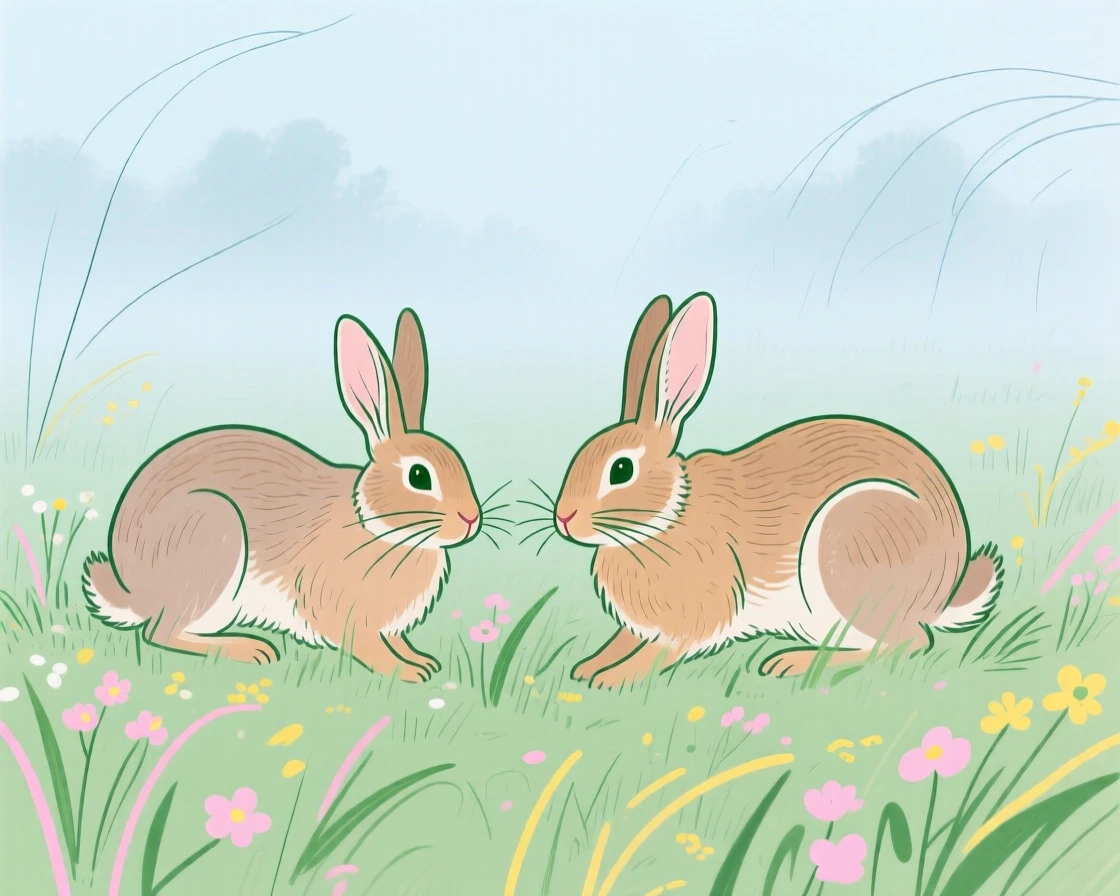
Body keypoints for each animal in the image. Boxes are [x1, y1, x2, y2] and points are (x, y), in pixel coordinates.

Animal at [82, 309, 484, 682]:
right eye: (419, 476)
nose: (471, 520)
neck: (377, 527)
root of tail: (134, 593)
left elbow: (398, 640)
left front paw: (423, 661)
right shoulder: (339, 611)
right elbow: (369, 648)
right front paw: (408, 672)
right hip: (213, 538)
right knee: (161, 632)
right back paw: (251, 649)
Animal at [550, 292, 1003, 689]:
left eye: (621, 469)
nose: (564, 519)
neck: (666, 519)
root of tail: (940, 595)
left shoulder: (698, 615)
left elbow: (658, 652)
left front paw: (612, 679)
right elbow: (620, 641)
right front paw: (587, 667)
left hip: (849, 552)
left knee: (906, 642)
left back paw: (791, 662)